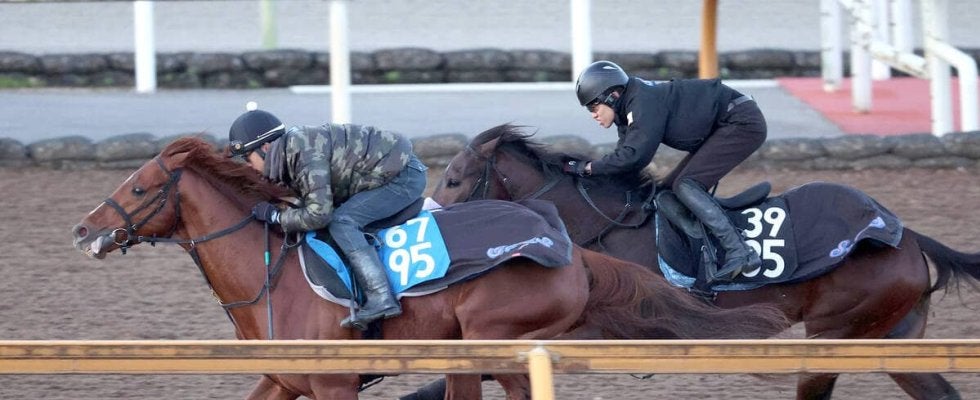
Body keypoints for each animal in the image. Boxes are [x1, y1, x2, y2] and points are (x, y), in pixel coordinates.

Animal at [71, 137, 788, 400]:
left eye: (140, 188)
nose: (84, 229)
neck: (267, 277)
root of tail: (573, 249)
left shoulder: (334, 385)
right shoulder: (284, 382)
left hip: (493, 339)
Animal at [431, 124, 980, 400]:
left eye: (454, 178)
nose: (430, 219)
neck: (602, 229)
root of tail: (904, 235)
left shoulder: (609, 332)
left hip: (839, 333)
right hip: (890, 335)